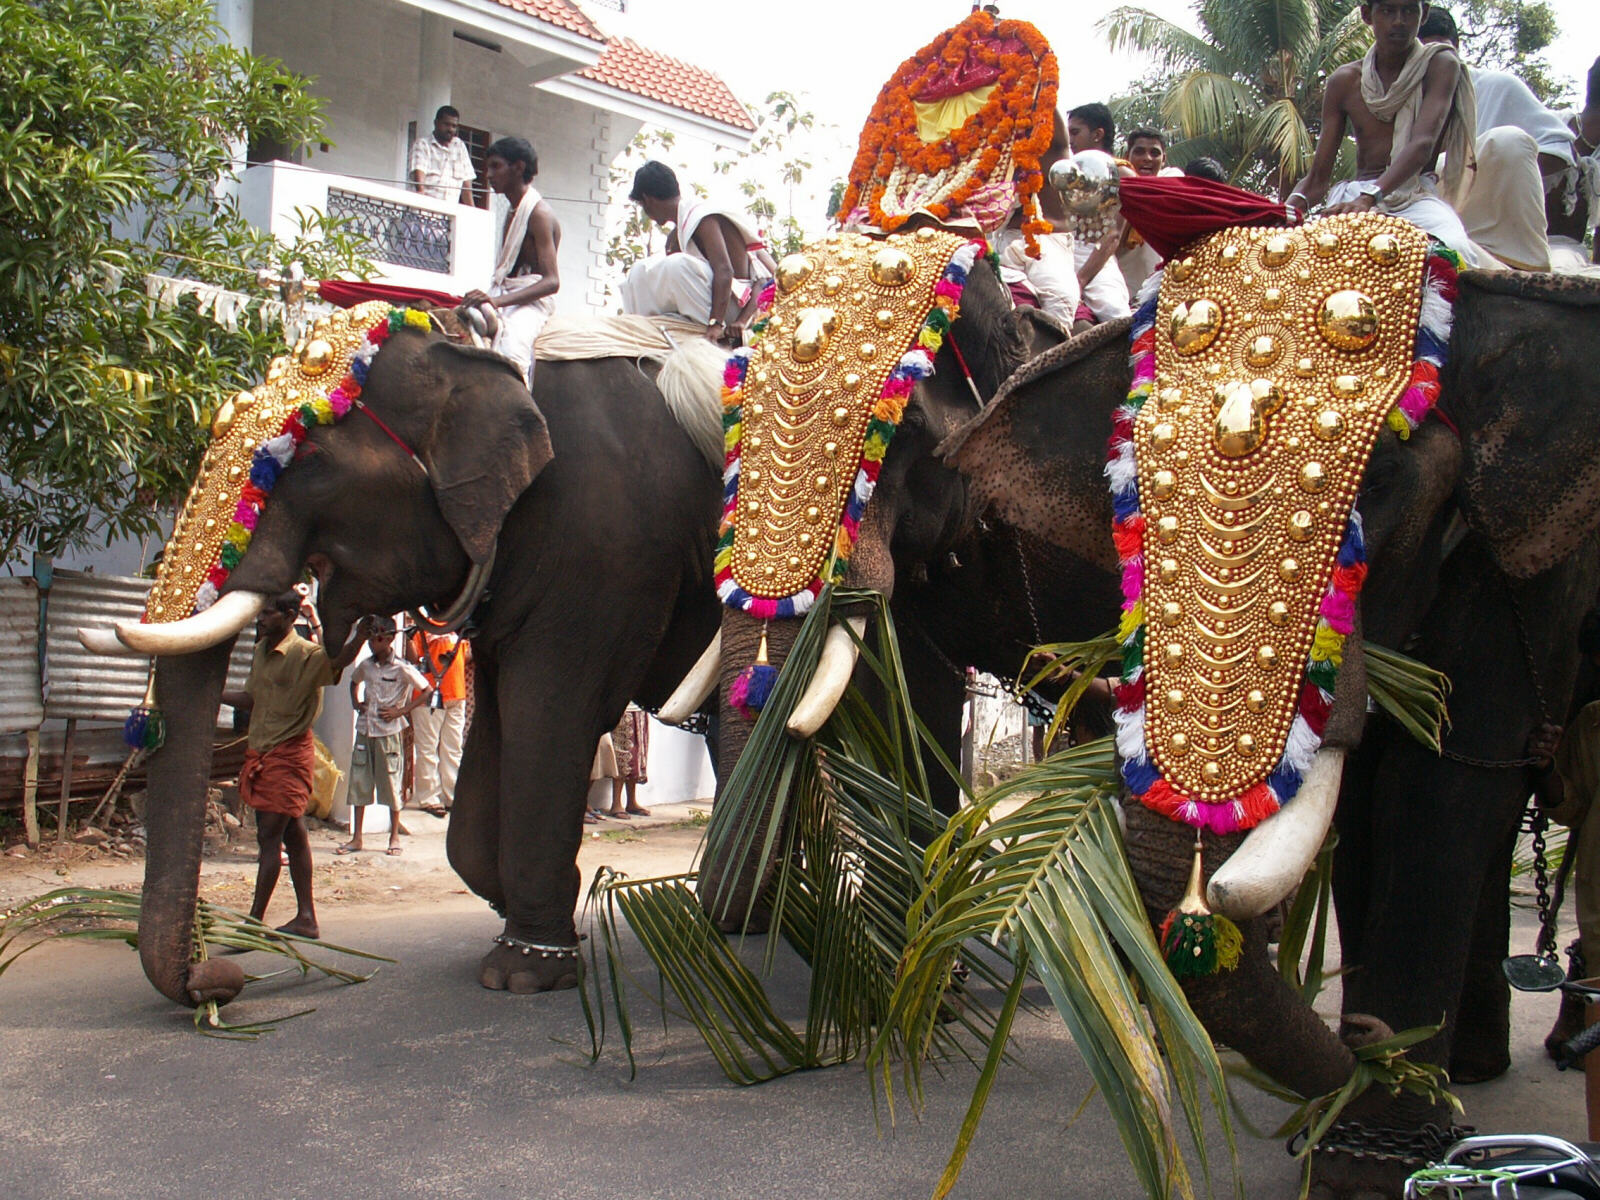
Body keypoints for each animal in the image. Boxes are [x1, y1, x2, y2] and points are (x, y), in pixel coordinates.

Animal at [79, 300, 720, 1004]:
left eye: (311, 462)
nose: (219, 977)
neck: (471, 349)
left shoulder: (609, 551)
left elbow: (556, 715)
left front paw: (523, 972)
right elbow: (493, 747)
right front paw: (536, 912)